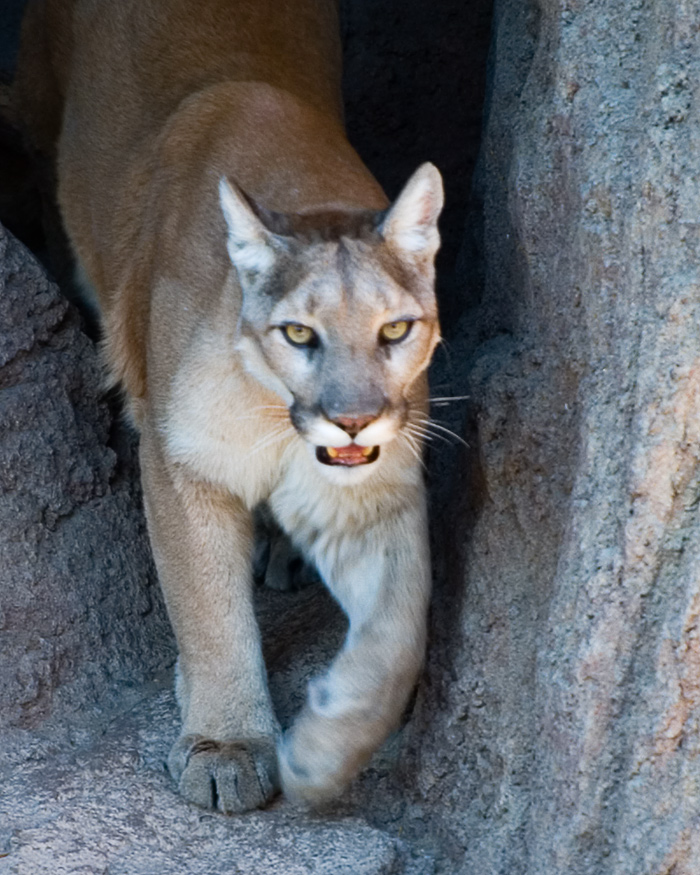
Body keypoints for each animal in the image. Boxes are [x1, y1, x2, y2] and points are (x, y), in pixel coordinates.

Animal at [17, 0, 442, 812]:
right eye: (299, 333)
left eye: (395, 330)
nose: (352, 419)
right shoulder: (182, 461)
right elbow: (209, 607)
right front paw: (227, 745)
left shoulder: (378, 484)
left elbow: (401, 629)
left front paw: (325, 751)